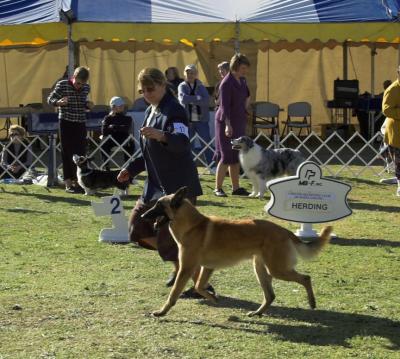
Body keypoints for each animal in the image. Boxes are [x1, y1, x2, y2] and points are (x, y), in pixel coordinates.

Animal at [142, 188, 332, 318]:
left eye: (159, 205)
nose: (143, 216)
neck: (193, 226)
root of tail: (284, 231)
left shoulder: (186, 269)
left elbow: (174, 293)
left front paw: (161, 312)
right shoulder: (206, 268)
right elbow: (199, 286)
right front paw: (213, 298)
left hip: (276, 269)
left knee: (305, 278)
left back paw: (312, 302)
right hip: (261, 269)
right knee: (270, 295)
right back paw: (257, 313)